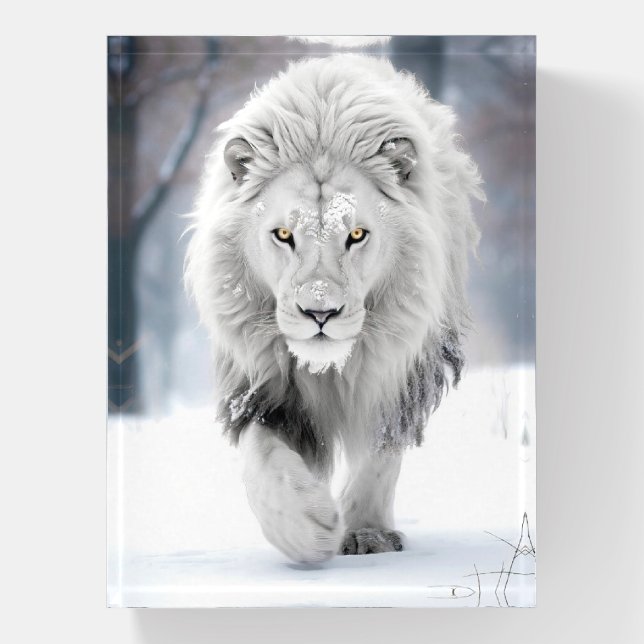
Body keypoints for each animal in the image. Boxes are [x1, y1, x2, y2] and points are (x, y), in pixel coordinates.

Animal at [185, 54, 484, 563]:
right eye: (284, 235)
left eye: (356, 234)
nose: (319, 314)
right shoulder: (259, 384)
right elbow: (262, 459)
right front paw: (307, 526)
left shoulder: (401, 370)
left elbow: (380, 452)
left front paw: (366, 533)